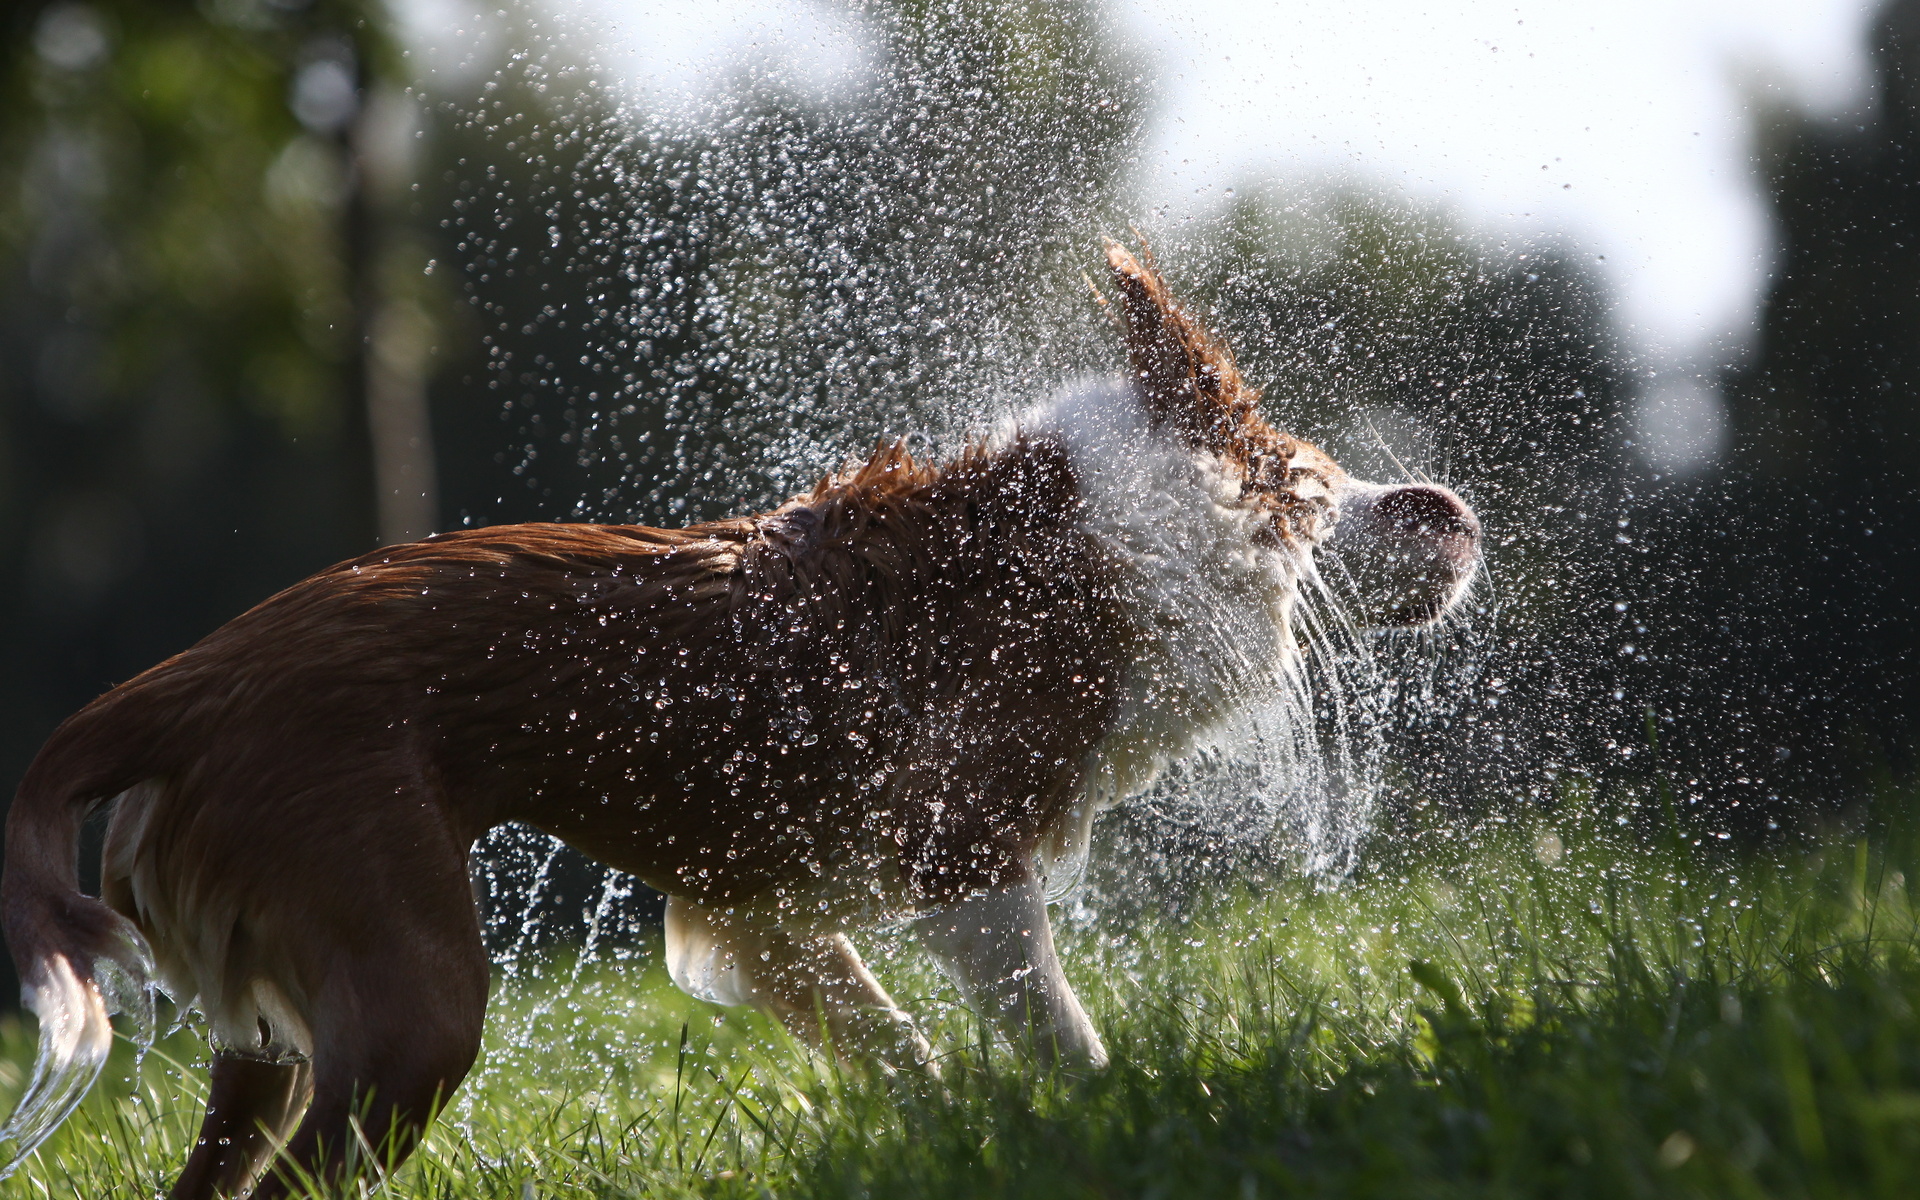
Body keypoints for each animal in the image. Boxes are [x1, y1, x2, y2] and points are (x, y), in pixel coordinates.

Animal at [0, 240, 1482, 1190]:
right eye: (1309, 474)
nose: (1450, 510)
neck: (1095, 544)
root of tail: (180, 682)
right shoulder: (964, 859)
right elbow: (1063, 1040)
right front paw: (1119, 1123)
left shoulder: (760, 917)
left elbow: (907, 1057)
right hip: (415, 993)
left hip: (263, 1030)